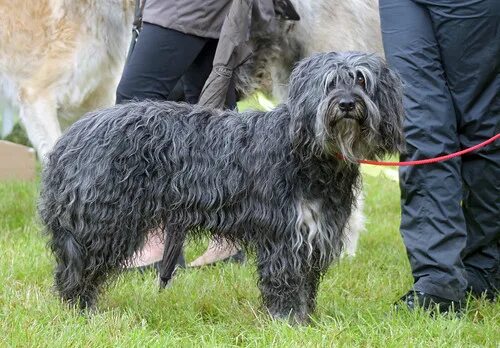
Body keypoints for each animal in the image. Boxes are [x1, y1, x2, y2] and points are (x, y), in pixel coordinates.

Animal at [40, 51, 406, 324]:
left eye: (361, 80)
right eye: (330, 83)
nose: (346, 104)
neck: (306, 151)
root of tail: (72, 136)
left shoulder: (313, 231)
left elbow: (305, 283)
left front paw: (306, 319)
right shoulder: (286, 235)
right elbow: (286, 281)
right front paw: (289, 322)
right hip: (103, 224)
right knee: (76, 270)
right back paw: (81, 311)